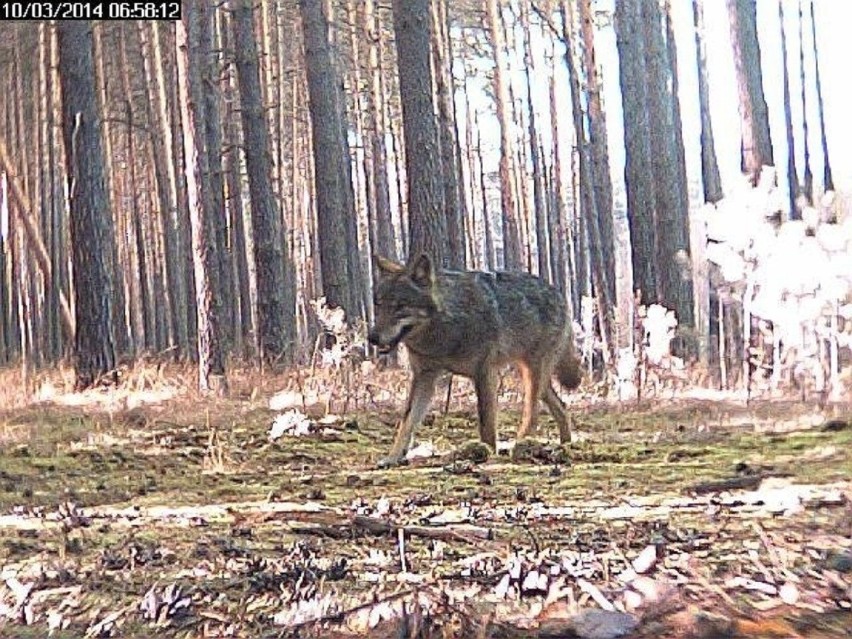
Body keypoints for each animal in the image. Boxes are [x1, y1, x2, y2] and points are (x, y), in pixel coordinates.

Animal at [366, 252, 580, 468]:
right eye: (378, 304)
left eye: (400, 307)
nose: (372, 338)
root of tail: (558, 293)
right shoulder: (423, 377)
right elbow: (407, 421)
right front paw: (393, 457)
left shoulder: (484, 373)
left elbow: (486, 422)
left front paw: (487, 453)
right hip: (533, 378)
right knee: (562, 407)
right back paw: (565, 447)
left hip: (532, 376)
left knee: (533, 414)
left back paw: (522, 446)